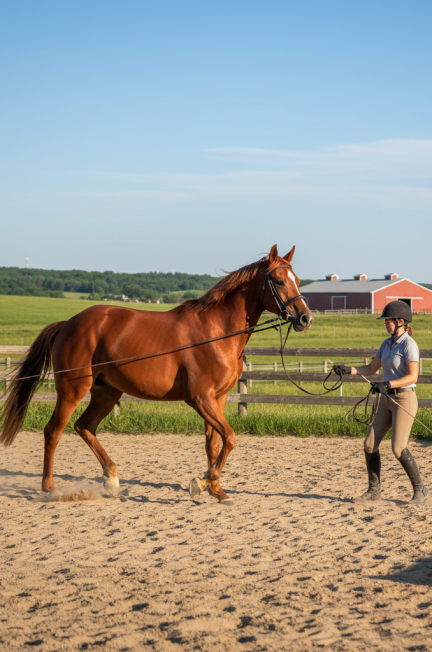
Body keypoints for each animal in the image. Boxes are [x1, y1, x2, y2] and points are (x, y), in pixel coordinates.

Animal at [0, 244, 313, 503]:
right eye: (280, 281)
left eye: (297, 280)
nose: (305, 318)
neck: (216, 332)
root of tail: (68, 323)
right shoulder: (200, 398)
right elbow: (231, 437)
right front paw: (201, 483)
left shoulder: (219, 399)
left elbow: (215, 444)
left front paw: (216, 490)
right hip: (72, 389)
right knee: (53, 431)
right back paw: (50, 489)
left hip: (106, 391)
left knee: (84, 427)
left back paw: (111, 480)